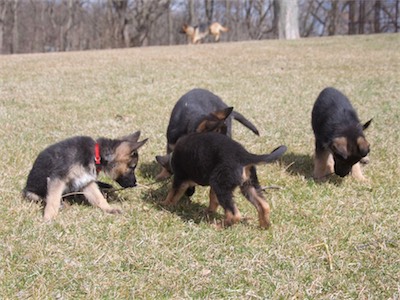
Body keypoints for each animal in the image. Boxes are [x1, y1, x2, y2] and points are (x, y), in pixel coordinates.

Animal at [156, 132, 288, 229]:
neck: (172, 158)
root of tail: (245, 155)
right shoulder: (210, 185)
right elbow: (212, 199)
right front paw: (209, 211)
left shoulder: (180, 178)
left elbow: (173, 193)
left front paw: (165, 204)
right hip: (248, 185)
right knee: (264, 205)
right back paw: (264, 226)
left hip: (221, 185)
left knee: (234, 214)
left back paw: (218, 226)